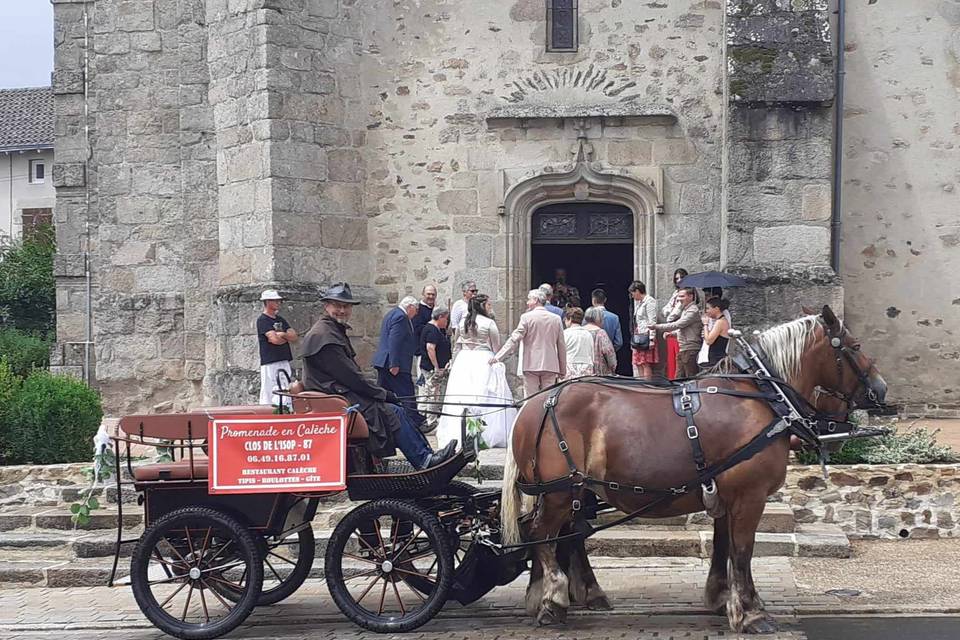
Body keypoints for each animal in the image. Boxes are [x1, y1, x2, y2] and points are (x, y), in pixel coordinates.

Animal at [502, 308, 884, 632]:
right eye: (855, 347)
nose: (880, 389)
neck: (762, 393)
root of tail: (533, 404)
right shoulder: (750, 496)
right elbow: (742, 551)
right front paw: (751, 612)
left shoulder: (727, 494)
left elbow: (722, 544)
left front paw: (721, 598)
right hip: (559, 489)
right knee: (542, 533)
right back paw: (553, 599)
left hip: (574, 490)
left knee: (566, 533)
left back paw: (568, 595)